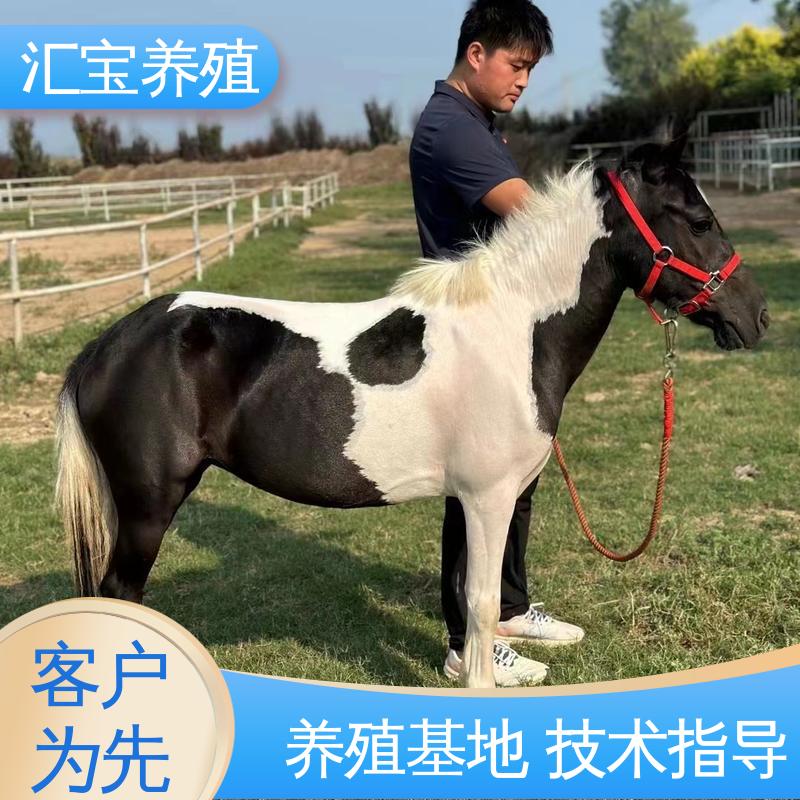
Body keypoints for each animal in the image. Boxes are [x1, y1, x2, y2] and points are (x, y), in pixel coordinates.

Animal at [55, 139, 768, 688]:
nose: (756, 316)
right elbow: (479, 602)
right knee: (120, 595)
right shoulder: (487, 498)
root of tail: (105, 344)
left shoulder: (474, 497)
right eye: (698, 221)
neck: (511, 330)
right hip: (148, 507)